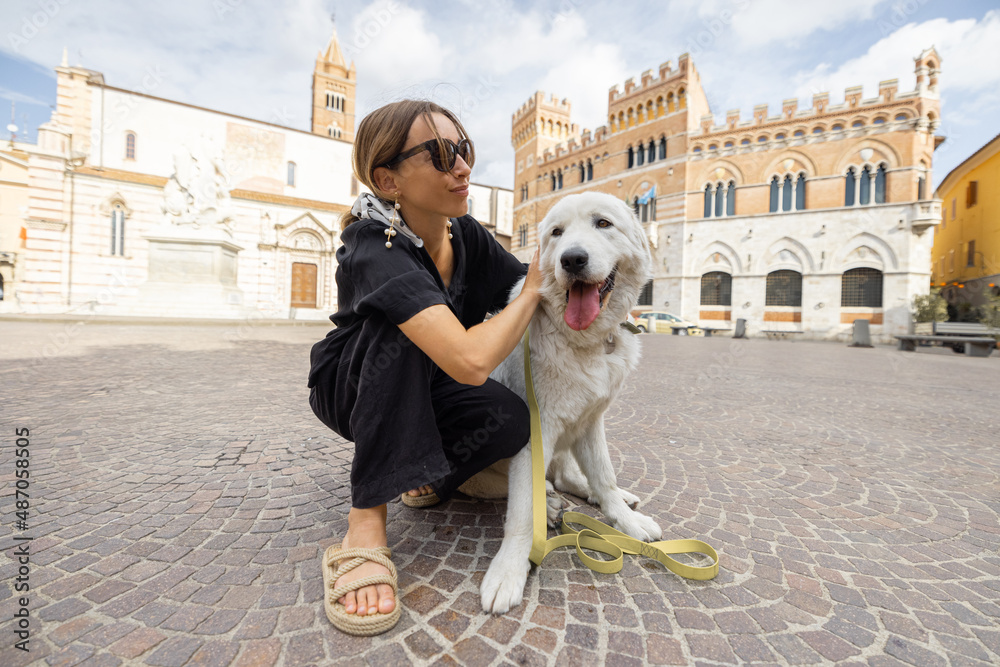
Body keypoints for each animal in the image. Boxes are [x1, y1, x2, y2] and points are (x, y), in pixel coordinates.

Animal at [462, 190, 660, 612]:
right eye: (557, 233)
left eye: (603, 223)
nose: (572, 259)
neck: (588, 341)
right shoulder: (537, 431)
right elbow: (522, 511)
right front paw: (510, 570)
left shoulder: (592, 419)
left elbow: (604, 475)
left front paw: (625, 520)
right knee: (518, 487)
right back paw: (550, 506)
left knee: (568, 477)